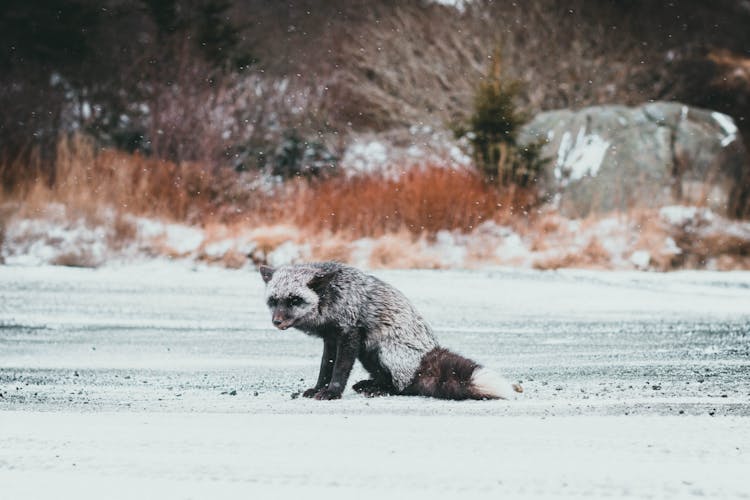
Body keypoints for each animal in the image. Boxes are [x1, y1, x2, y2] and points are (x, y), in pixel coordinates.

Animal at [258, 260, 524, 400]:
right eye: (273, 300)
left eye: (295, 300)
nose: (276, 321)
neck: (333, 298)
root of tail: (426, 357)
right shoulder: (331, 339)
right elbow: (325, 368)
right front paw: (318, 388)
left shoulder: (349, 335)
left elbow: (339, 371)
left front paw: (332, 392)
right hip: (368, 355)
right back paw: (368, 385)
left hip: (380, 351)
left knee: (403, 387)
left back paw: (379, 389)